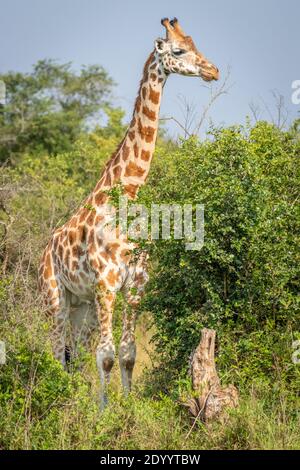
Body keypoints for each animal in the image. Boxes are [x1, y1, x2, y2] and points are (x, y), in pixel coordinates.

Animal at [38, 17, 219, 408]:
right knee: (56, 350)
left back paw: (74, 398)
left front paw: (125, 405)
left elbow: (127, 353)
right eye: (178, 50)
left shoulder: (136, 283)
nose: (213, 70)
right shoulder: (107, 283)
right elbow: (106, 355)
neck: (130, 194)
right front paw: (105, 411)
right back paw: (61, 401)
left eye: (196, 44)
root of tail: (44, 249)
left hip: (83, 305)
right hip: (54, 297)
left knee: (73, 352)